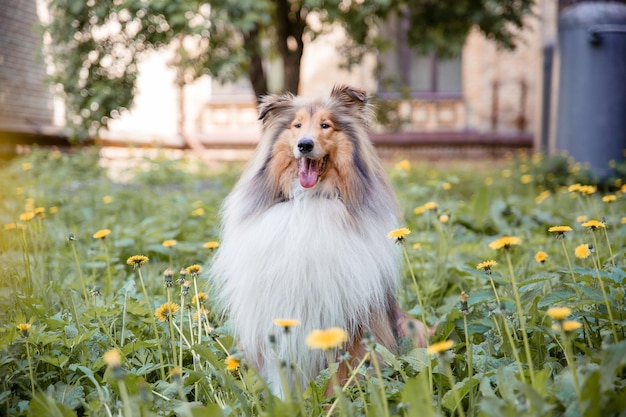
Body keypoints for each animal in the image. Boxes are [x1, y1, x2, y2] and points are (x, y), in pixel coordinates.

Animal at [210, 85, 424, 396]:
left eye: (326, 125)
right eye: (296, 126)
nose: (304, 145)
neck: (309, 201)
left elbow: (341, 371)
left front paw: (335, 400)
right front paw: (285, 400)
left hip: (411, 325)